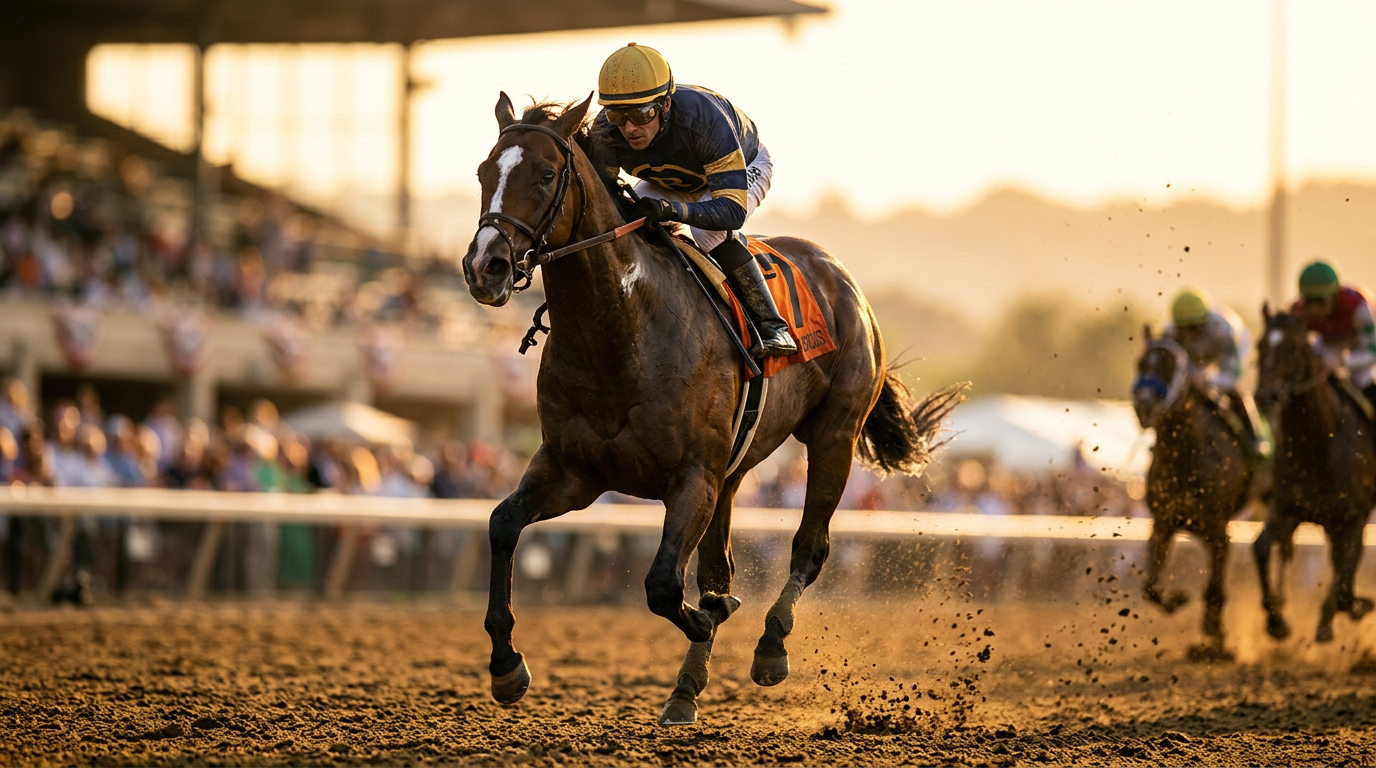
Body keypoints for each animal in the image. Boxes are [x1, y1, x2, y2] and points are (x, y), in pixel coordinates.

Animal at [462, 94, 964, 726]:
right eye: (484, 171)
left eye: (547, 174)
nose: (486, 267)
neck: (620, 330)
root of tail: (840, 274)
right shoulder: (574, 471)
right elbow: (503, 523)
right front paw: (506, 665)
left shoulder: (691, 477)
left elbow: (662, 586)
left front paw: (714, 616)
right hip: (734, 470)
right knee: (717, 564)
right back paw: (685, 689)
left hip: (833, 437)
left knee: (809, 548)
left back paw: (770, 646)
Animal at [1131, 328, 1254, 658]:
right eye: (1140, 363)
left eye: (1169, 366)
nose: (1144, 405)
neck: (1187, 456)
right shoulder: (1163, 523)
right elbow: (1149, 587)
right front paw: (1177, 599)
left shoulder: (1219, 531)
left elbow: (1215, 589)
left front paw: (1215, 639)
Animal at [1253, 306, 1376, 642]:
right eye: (1260, 346)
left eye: (1293, 349)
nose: (1265, 396)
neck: (1318, 448)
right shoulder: (1286, 507)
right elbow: (1261, 548)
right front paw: (1276, 621)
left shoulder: (1353, 516)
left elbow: (1345, 572)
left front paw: (1336, 617)